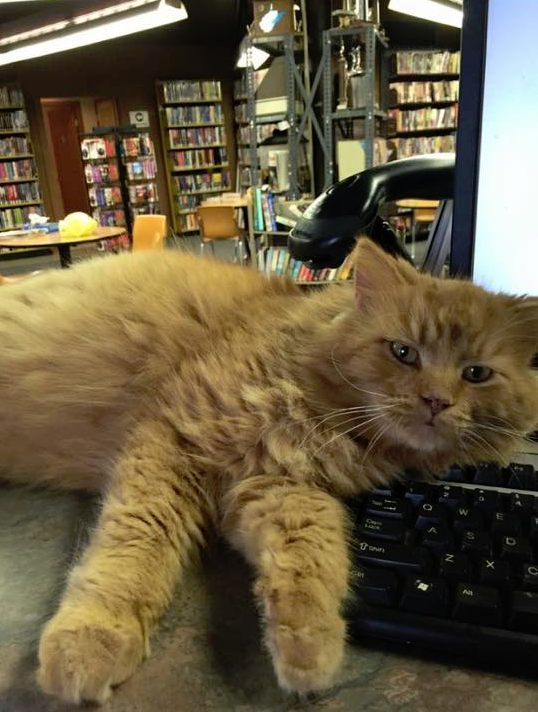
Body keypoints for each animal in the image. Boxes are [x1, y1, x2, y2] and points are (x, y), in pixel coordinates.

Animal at [0, 238, 532, 700]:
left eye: (476, 374)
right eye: (403, 353)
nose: (437, 402)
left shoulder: (275, 486)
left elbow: (313, 555)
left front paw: (308, 645)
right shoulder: (171, 441)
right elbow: (131, 550)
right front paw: (91, 636)